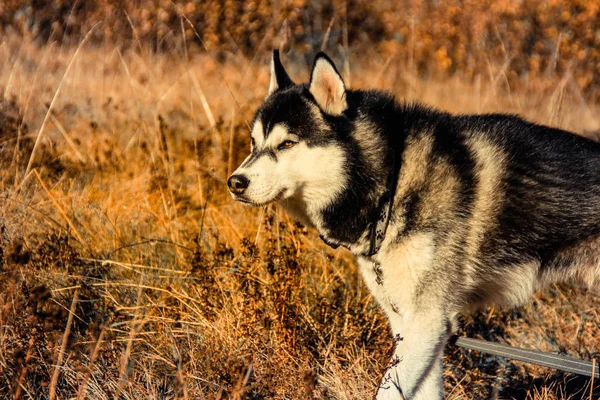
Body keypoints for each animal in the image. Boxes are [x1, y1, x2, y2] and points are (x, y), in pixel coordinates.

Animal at [226, 51, 600, 398]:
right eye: (254, 143)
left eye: (287, 143)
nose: (235, 182)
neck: (392, 179)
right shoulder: (411, 325)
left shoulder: (428, 321)